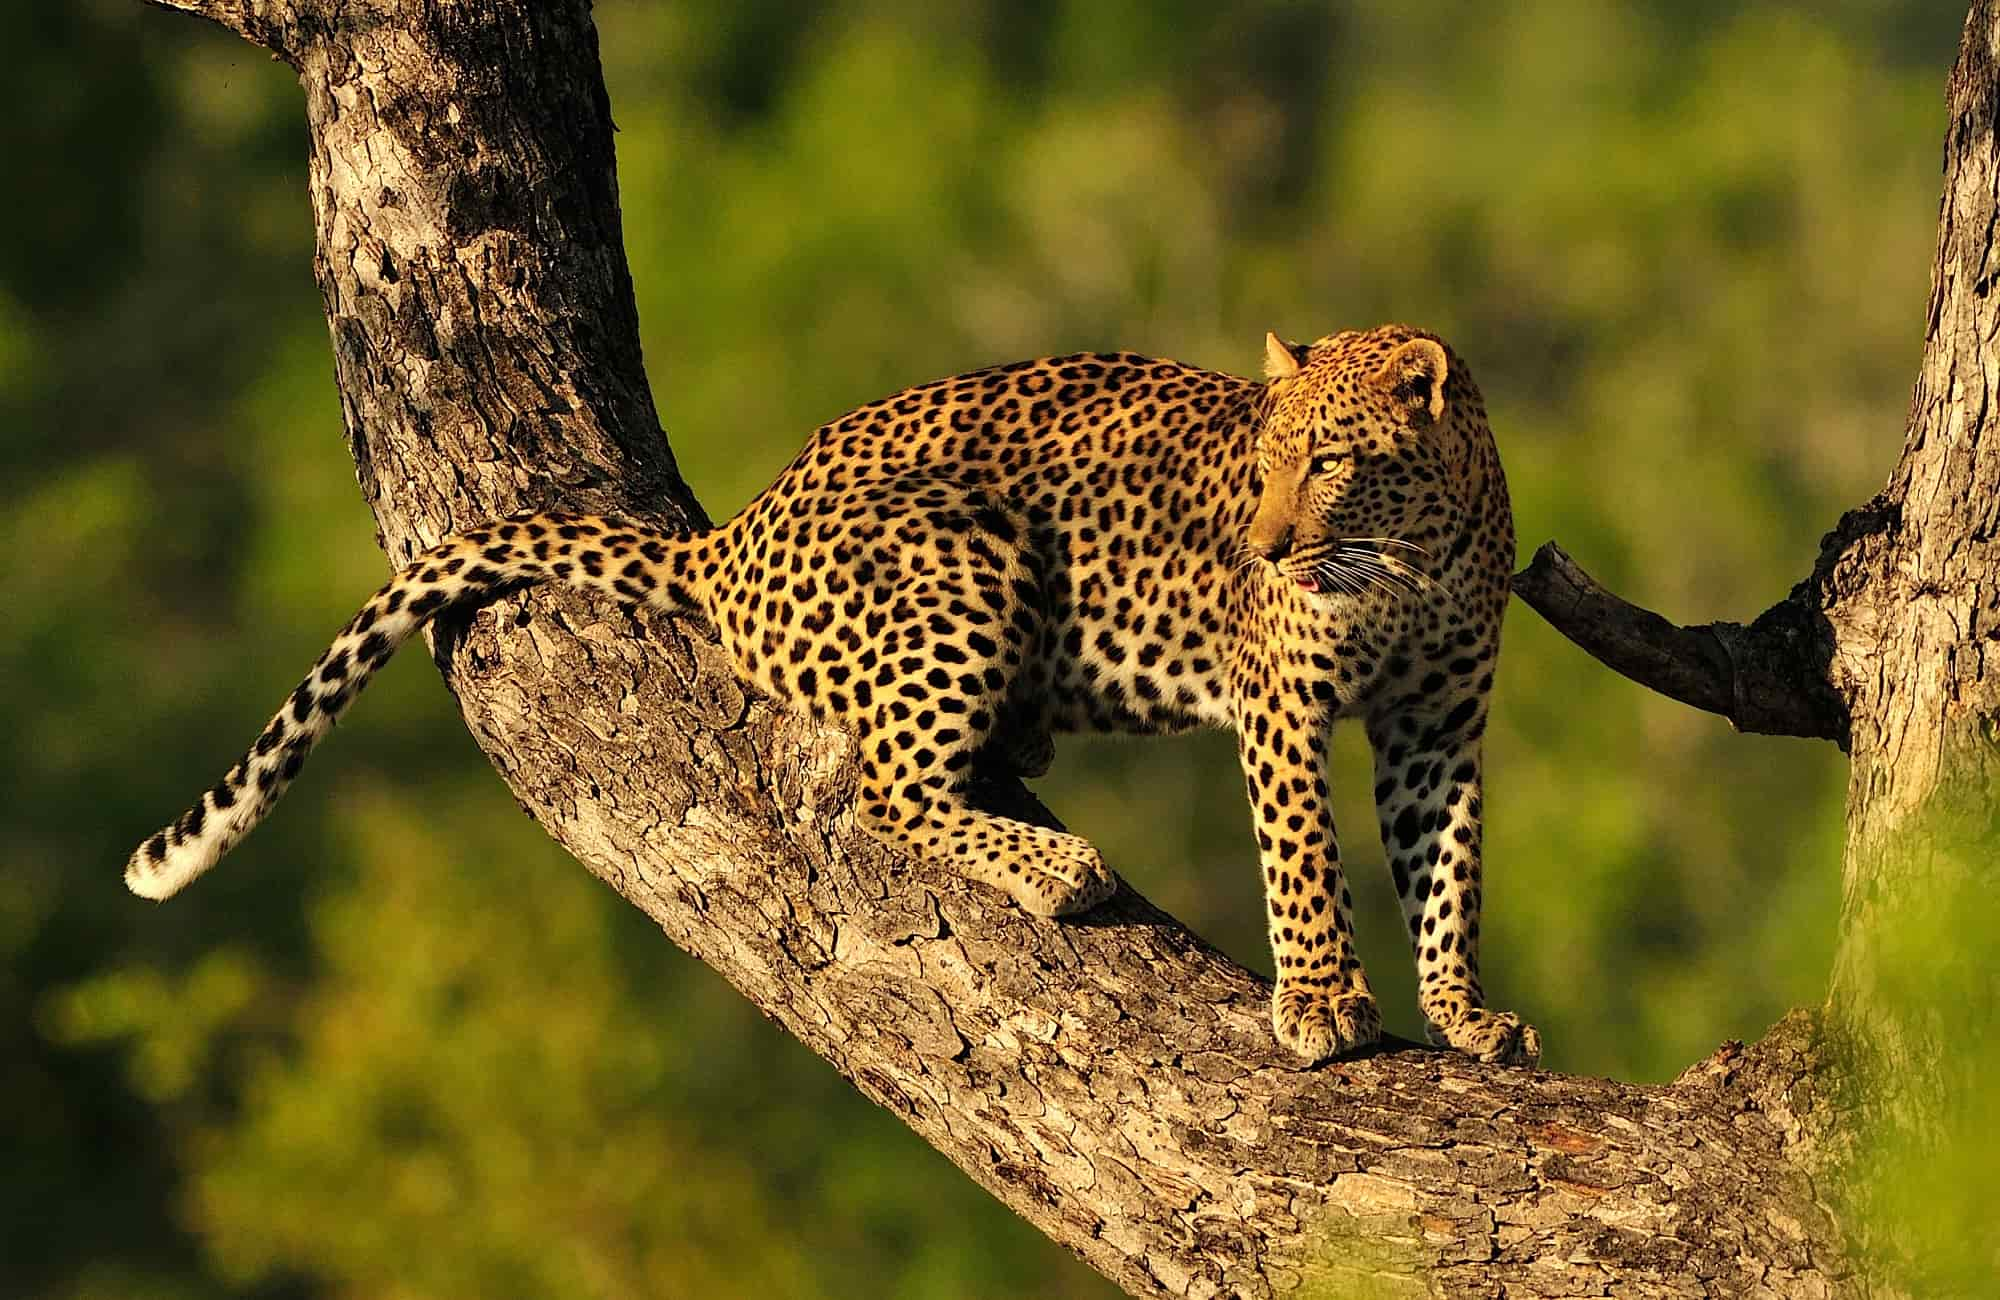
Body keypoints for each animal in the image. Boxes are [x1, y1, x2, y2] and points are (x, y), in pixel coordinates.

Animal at [129, 322, 1544, 1064]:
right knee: (887, 792)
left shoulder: (1438, 725)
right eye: (1261, 460)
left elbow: (1448, 868)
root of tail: (734, 535)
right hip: (963, 550)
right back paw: (1054, 867)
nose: (1258, 546)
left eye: (1328, 461)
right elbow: (1305, 856)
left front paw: (1465, 1014)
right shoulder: (1284, 705)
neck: (1412, 552)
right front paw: (1320, 1003)